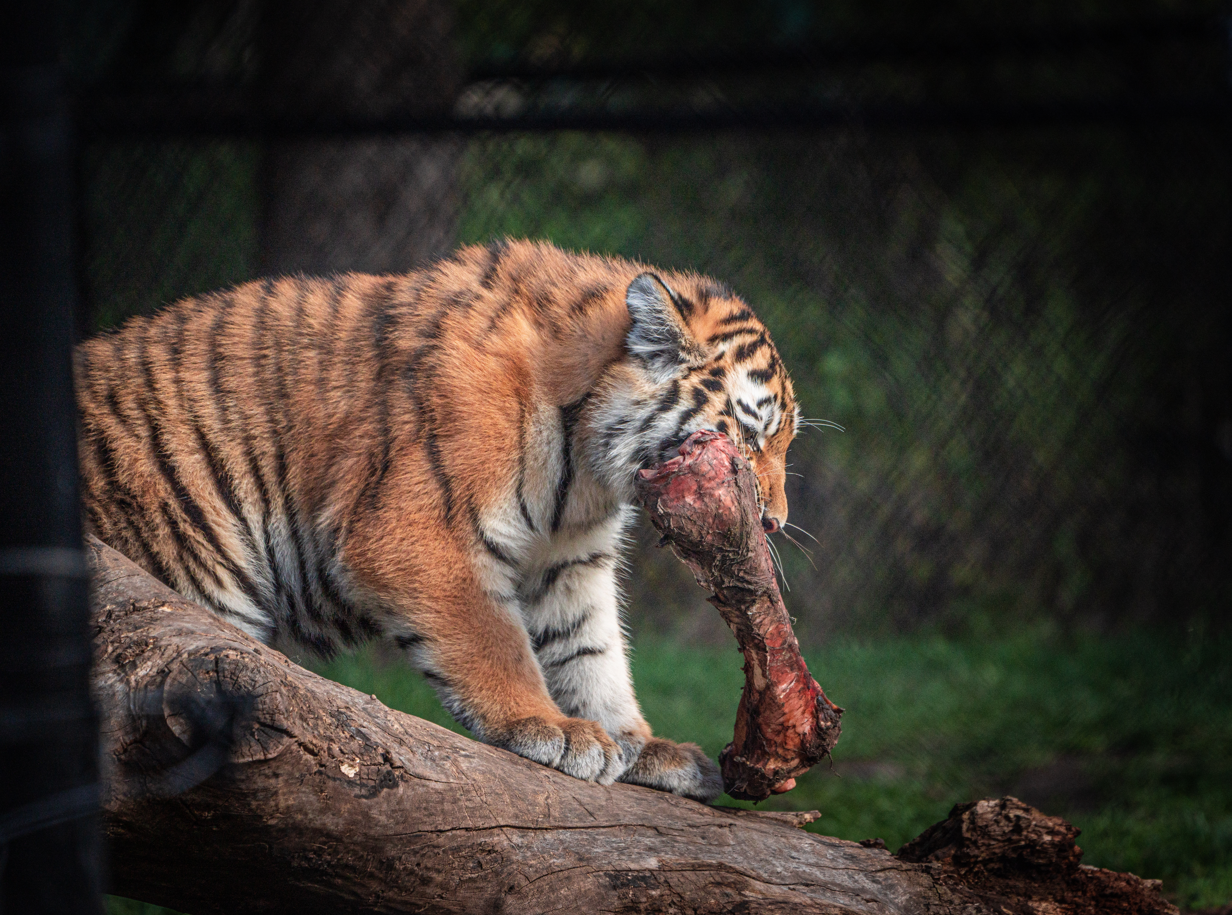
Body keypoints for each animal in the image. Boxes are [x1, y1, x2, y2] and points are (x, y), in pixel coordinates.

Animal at [75, 239, 799, 803]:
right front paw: (551, 728)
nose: (774, 524)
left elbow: (591, 652)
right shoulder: (417, 533)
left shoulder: (570, 559)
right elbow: (494, 640)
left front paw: (639, 745)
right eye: (751, 437)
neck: (586, 466)